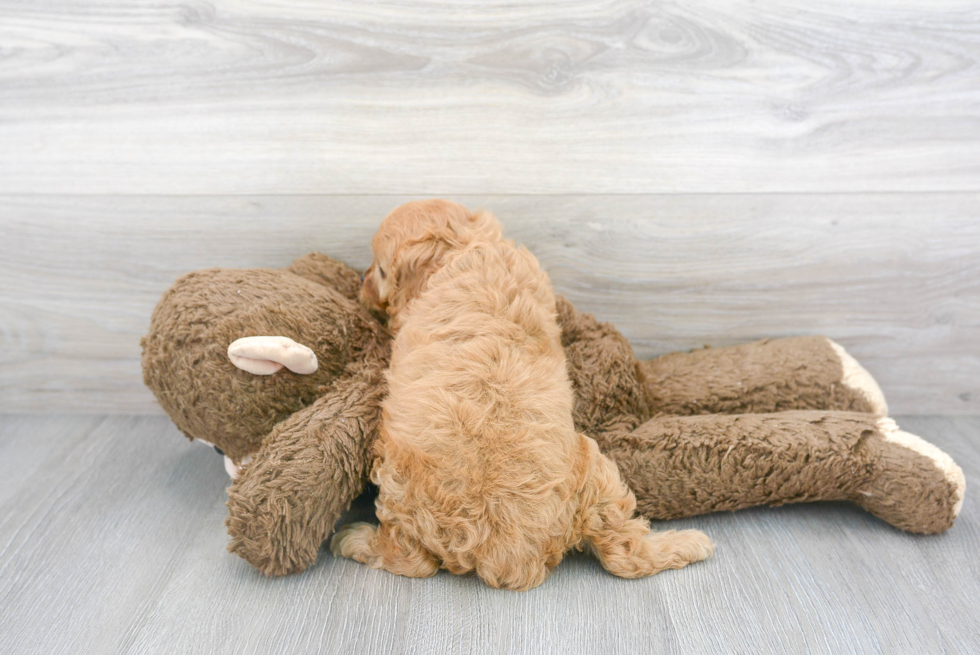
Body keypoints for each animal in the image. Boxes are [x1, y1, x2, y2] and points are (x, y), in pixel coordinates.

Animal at [332, 199, 712, 588]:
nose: (362, 281)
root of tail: (506, 555)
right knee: (623, 551)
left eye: (380, 270)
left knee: (410, 560)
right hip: (592, 476)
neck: (464, 246)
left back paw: (353, 539)